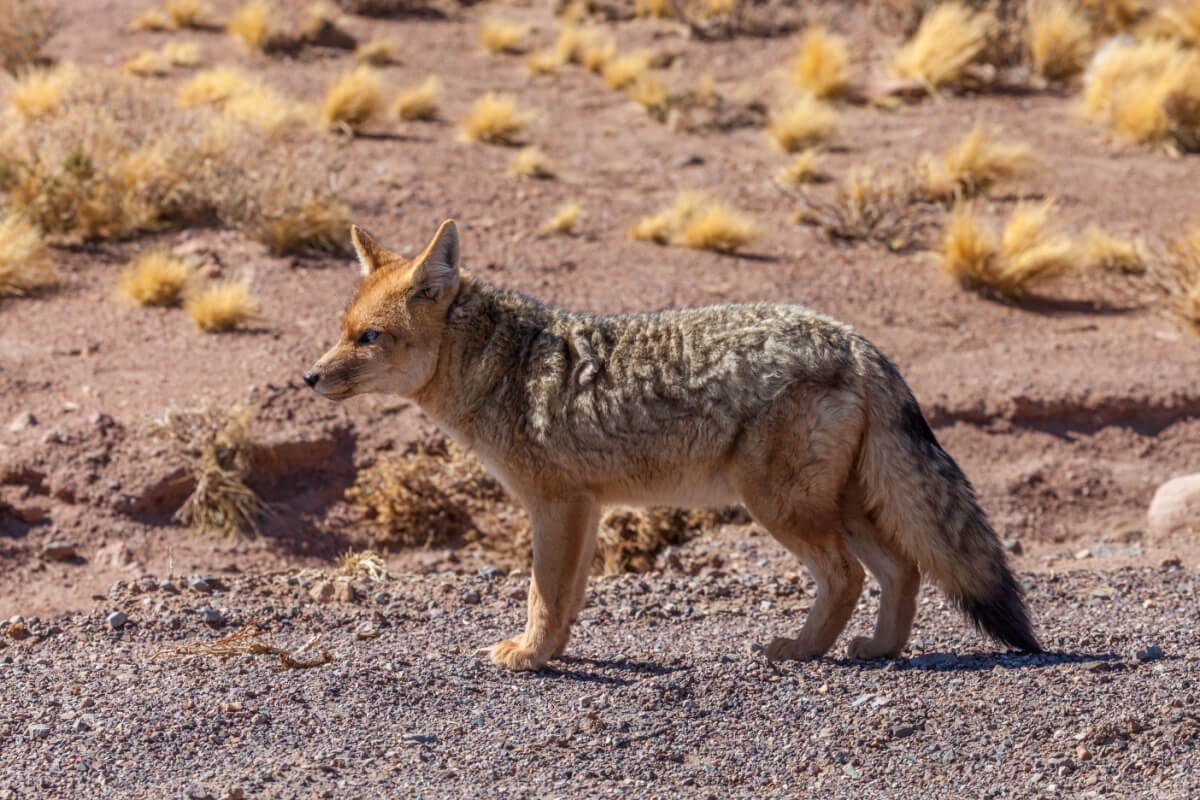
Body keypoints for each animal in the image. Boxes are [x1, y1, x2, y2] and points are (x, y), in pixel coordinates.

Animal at [302, 217, 1041, 671]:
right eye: (341, 332)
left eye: (368, 338)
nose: (309, 377)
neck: (501, 365)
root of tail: (857, 341)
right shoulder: (585, 508)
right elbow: (567, 599)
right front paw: (553, 653)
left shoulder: (556, 505)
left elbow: (544, 594)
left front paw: (530, 658)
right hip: (845, 505)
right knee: (903, 569)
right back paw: (879, 649)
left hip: (781, 506)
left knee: (849, 575)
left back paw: (801, 651)